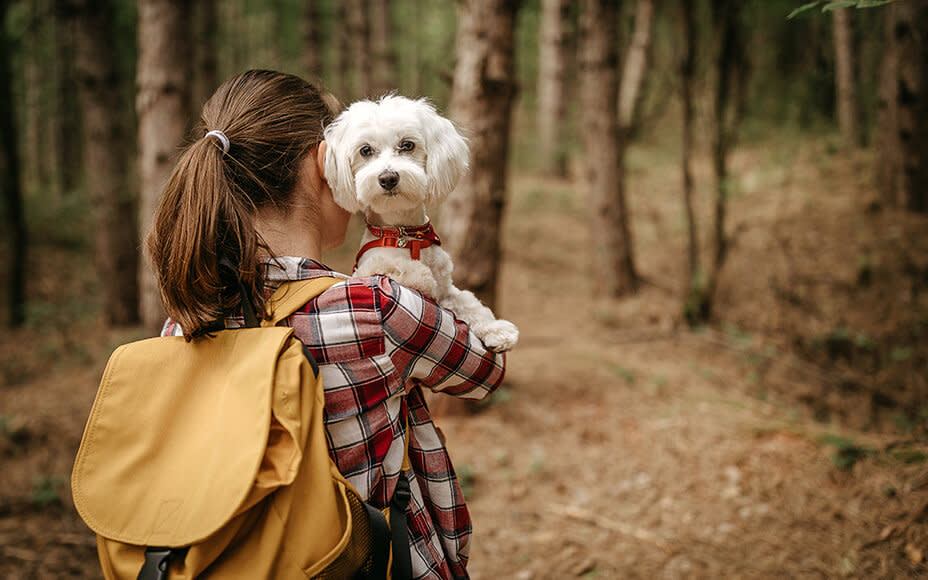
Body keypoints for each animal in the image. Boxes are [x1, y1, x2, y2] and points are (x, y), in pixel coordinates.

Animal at [322, 95, 520, 352]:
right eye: (365, 150)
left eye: (407, 145)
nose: (388, 178)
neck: (404, 235)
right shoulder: (364, 270)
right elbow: (396, 268)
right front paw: (420, 275)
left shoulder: (447, 289)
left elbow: (468, 302)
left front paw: (497, 329)